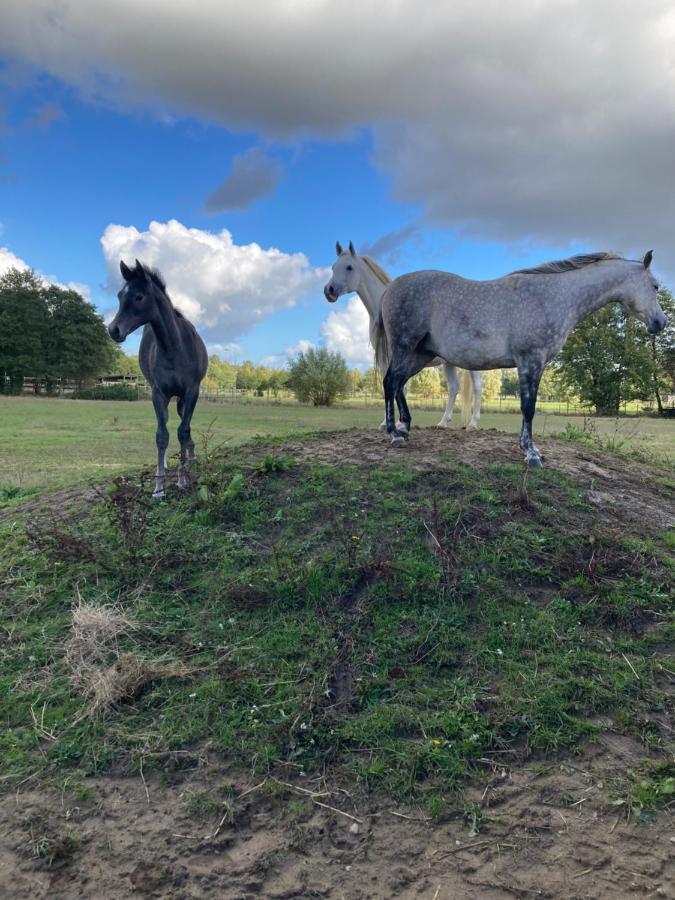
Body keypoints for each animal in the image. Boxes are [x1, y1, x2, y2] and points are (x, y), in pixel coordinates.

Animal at [109, 260, 209, 500]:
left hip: (182, 400)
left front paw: (182, 479)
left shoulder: (192, 392)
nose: (113, 330)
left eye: (139, 296)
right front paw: (159, 488)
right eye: (119, 295)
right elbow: (162, 436)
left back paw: (192, 460)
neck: (174, 347)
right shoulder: (158, 394)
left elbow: (183, 431)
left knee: (185, 430)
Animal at [324, 243, 484, 428]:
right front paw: (389, 422)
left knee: (477, 387)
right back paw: (443, 422)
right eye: (333, 267)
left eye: (349, 267)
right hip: (448, 363)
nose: (329, 290)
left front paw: (396, 423)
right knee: (453, 388)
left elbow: (400, 386)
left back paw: (473, 423)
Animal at [374, 251, 664, 468]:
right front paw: (531, 453)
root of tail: (390, 289)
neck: (553, 297)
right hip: (405, 347)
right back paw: (394, 434)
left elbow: (528, 407)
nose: (661, 322)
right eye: (655, 286)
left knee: (398, 384)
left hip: (420, 355)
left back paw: (404, 428)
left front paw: (528, 448)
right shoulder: (530, 361)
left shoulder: (536, 364)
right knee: (390, 383)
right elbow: (528, 407)